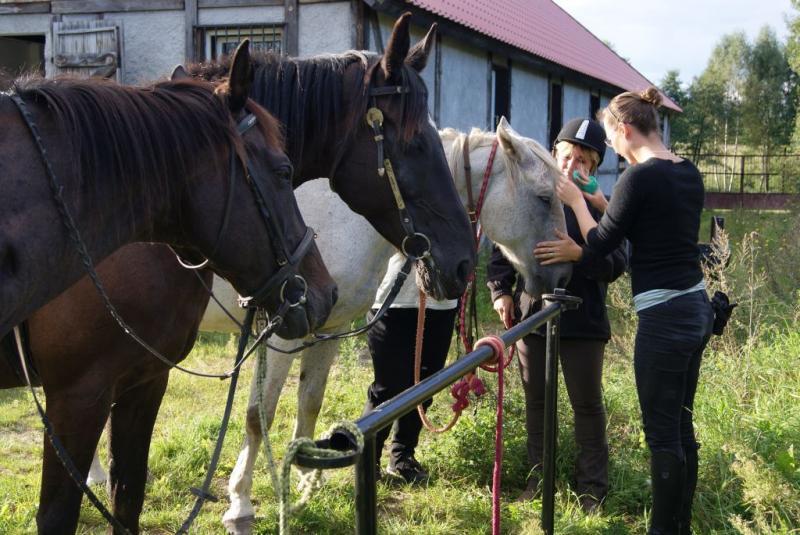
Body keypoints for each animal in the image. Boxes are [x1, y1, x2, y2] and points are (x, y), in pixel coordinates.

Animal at [0, 39, 336, 532]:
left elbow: (127, 497)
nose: (324, 293)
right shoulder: (76, 398)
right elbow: (59, 514)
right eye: (282, 170)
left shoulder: (142, 382)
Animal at [89, 117, 568, 532]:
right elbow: (258, 417)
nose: (560, 274)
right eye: (545, 197)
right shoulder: (281, 337)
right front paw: (240, 504)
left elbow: (310, 403)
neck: (354, 216)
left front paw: (306, 482)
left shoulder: (328, 332)